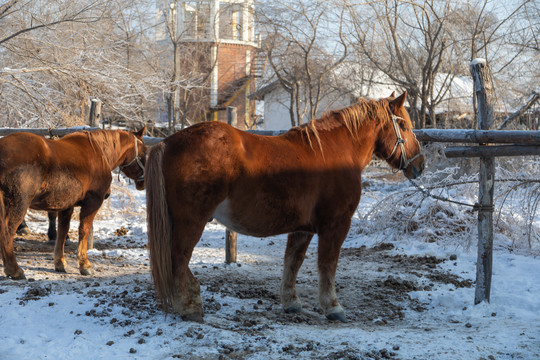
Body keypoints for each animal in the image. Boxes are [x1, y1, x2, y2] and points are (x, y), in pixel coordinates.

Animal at [0, 127, 147, 282]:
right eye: (144, 151)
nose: (143, 182)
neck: (99, 152)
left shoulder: (66, 205)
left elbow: (63, 232)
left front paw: (60, 263)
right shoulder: (92, 202)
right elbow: (84, 230)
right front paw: (85, 265)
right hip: (19, 204)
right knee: (7, 232)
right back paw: (14, 270)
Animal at [146, 92, 424, 320]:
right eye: (405, 126)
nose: (420, 165)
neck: (337, 152)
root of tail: (168, 142)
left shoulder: (302, 228)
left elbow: (293, 262)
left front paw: (291, 302)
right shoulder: (335, 224)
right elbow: (328, 264)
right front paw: (333, 307)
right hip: (191, 222)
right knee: (178, 259)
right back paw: (188, 308)